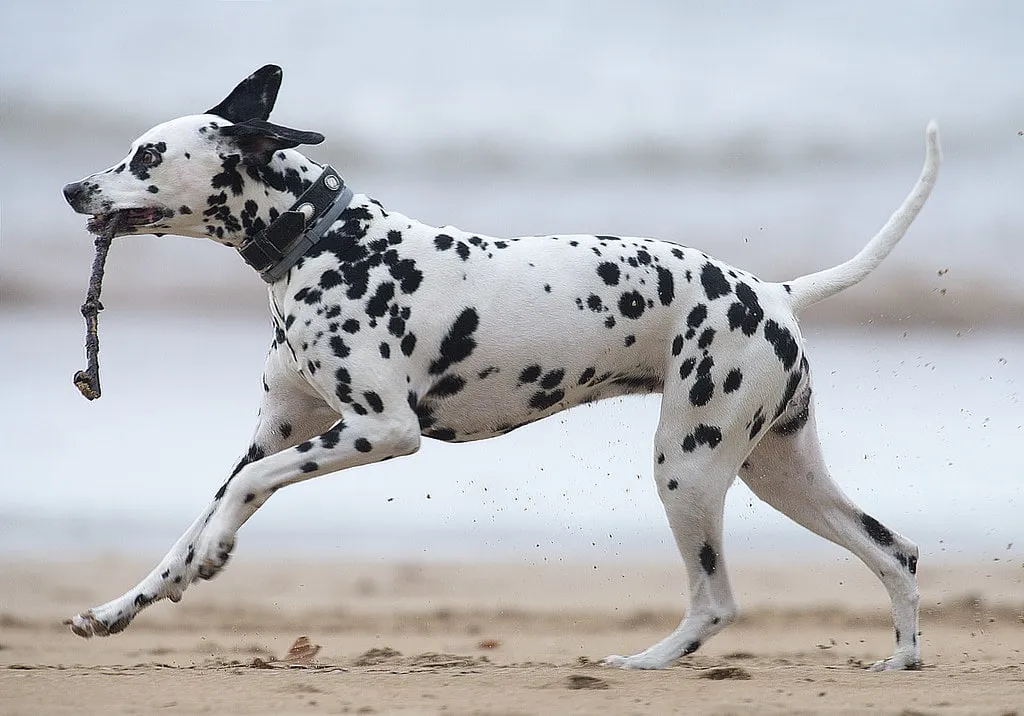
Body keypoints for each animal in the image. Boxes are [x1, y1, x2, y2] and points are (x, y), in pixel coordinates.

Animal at [64, 66, 937, 671]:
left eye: (146, 152)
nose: (73, 187)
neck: (328, 243)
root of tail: (776, 292)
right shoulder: (278, 430)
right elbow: (196, 520)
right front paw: (124, 606)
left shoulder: (381, 430)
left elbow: (240, 495)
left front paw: (213, 555)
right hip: (777, 471)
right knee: (894, 550)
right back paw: (901, 656)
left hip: (688, 469)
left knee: (716, 601)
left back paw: (647, 661)